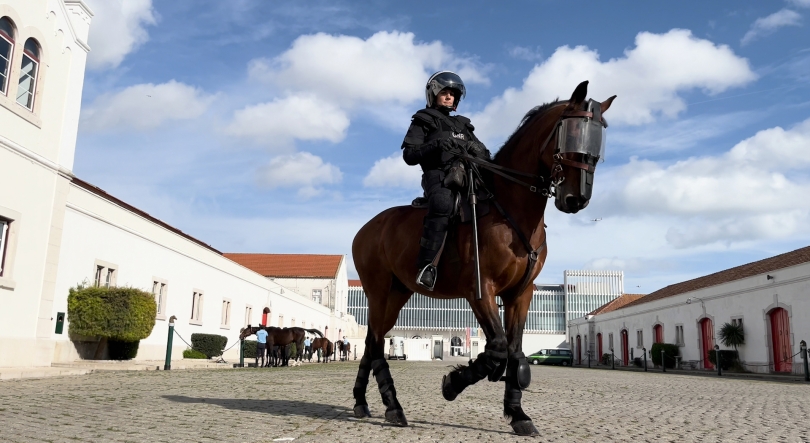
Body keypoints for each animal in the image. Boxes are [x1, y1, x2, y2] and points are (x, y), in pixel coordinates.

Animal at [350, 80, 616, 438]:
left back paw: (362, 402)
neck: (509, 209)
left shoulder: (521, 293)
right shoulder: (480, 290)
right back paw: (393, 406)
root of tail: (366, 229)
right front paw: (453, 383)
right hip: (378, 292)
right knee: (378, 342)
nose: (577, 198)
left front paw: (518, 413)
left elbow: (515, 350)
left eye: (597, 137)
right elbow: (498, 347)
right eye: (570, 132)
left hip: (397, 294)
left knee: (371, 341)